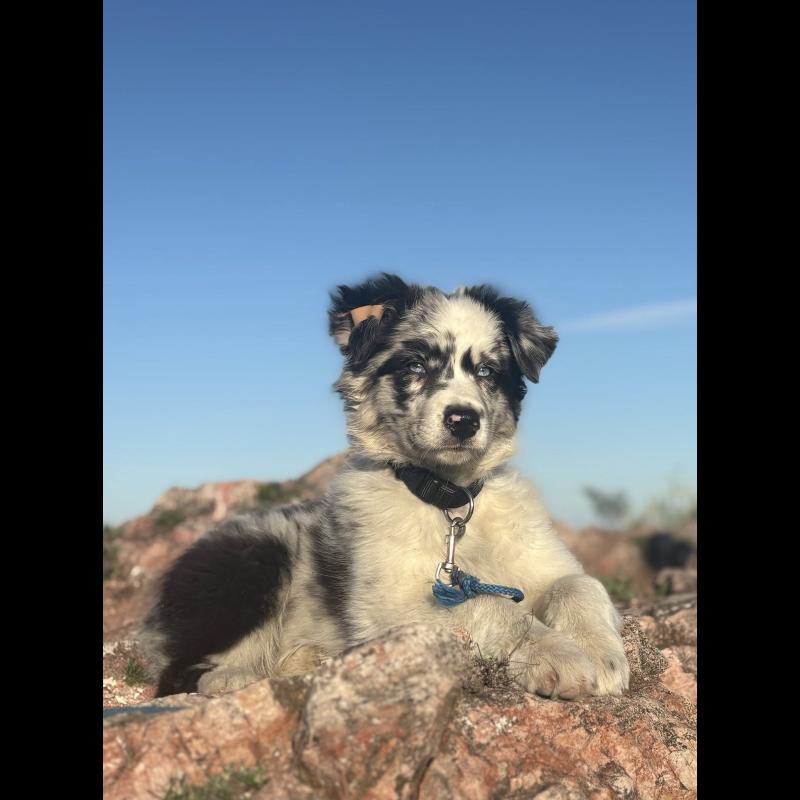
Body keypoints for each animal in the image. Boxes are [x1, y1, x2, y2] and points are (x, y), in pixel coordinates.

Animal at [141, 273, 630, 700]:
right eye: (414, 365)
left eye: (488, 372)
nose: (463, 420)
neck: (448, 499)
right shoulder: (395, 607)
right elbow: (493, 608)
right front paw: (559, 654)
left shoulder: (544, 562)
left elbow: (581, 584)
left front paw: (602, 653)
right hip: (255, 561)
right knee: (180, 672)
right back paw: (238, 677)